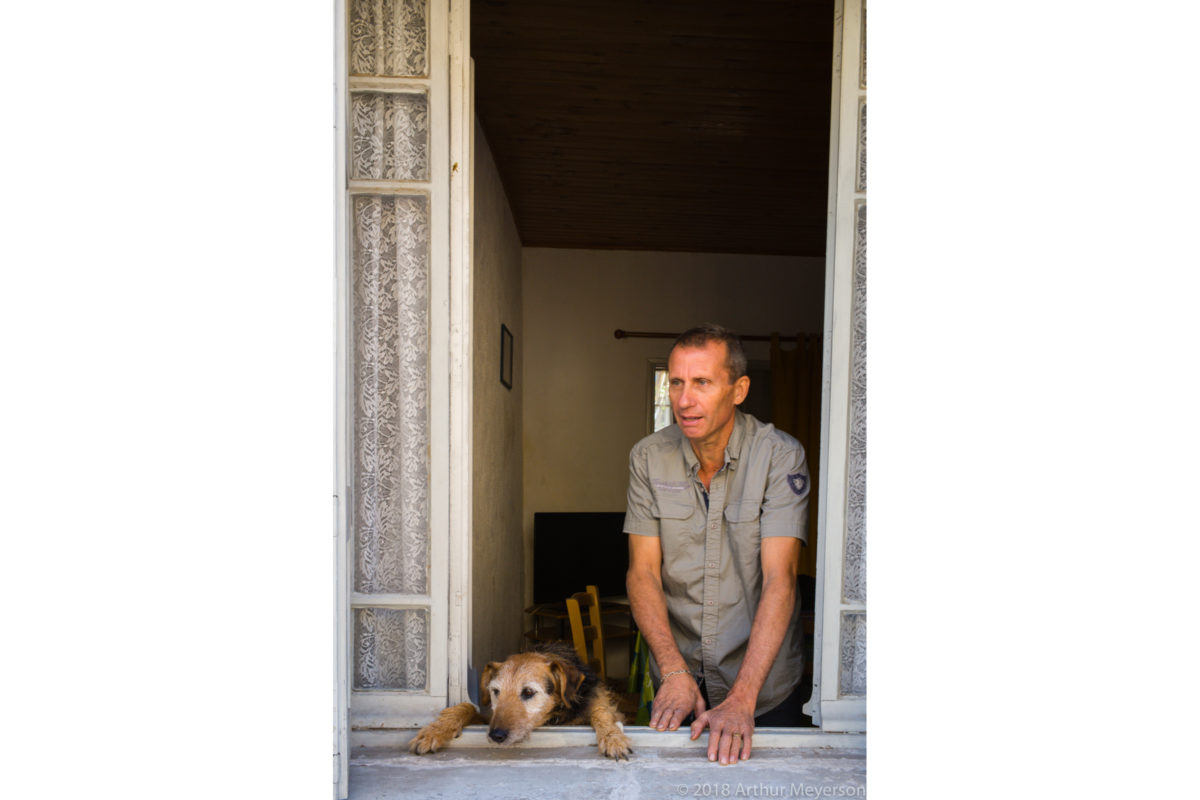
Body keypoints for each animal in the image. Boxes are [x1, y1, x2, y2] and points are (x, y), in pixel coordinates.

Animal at [408, 642, 633, 762]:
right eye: (495, 691)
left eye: (528, 692)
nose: (496, 736)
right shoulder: (488, 717)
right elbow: (468, 706)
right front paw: (434, 730)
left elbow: (601, 711)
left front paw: (613, 738)